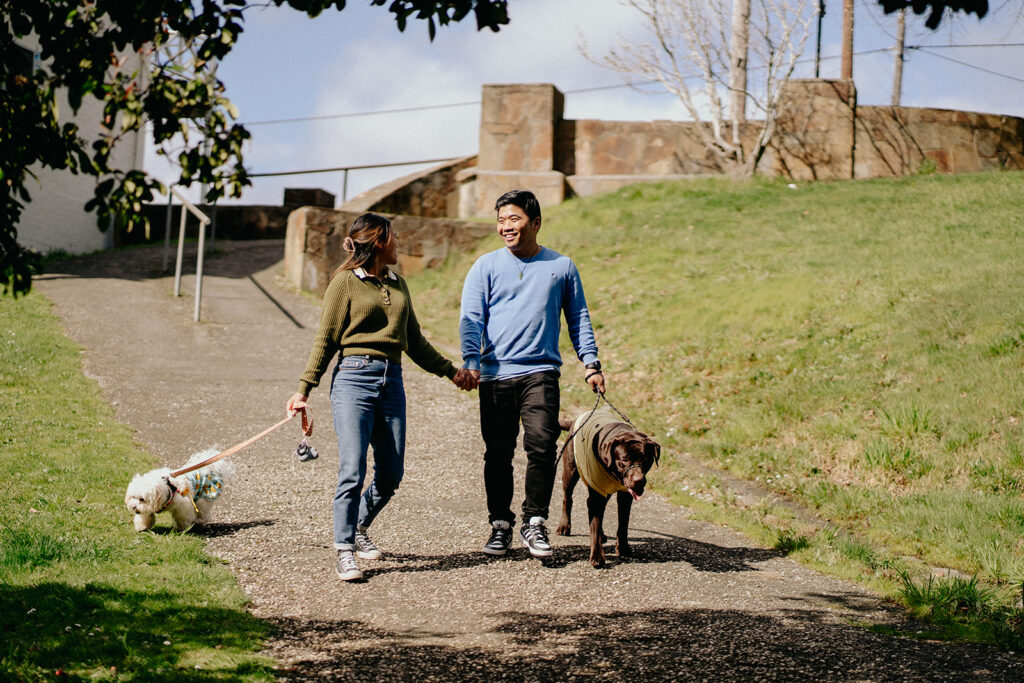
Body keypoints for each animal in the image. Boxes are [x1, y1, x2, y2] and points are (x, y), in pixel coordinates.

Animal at [557, 409, 659, 569]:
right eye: (624, 460)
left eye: (646, 460)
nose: (638, 481)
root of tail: (576, 419)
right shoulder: (596, 495)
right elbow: (594, 525)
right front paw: (597, 556)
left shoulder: (624, 496)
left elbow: (623, 523)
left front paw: (623, 548)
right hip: (571, 470)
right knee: (568, 497)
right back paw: (564, 526)